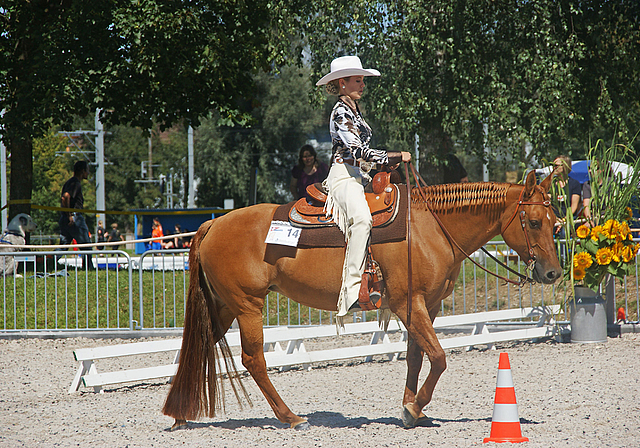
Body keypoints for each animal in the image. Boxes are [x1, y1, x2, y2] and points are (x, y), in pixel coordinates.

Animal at [162, 170, 561, 430]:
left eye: (556, 222)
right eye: (534, 221)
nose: (553, 273)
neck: (430, 228)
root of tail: (213, 224)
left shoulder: (424, 307)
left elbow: (417, 356)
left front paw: (411, 409)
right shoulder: (408, 303)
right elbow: (438, 357)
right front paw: (414, 408)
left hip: (223, 308)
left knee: (196, 348)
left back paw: (180, 414)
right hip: (247, 306)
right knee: (253, 360)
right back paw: (291, 417)